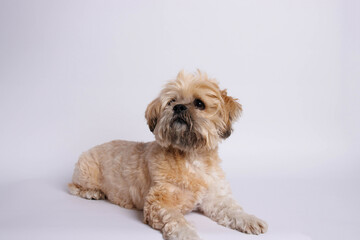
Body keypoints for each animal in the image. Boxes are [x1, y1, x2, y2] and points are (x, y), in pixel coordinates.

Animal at [68, 71, 268, 240]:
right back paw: (92, 192)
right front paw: (187, 233)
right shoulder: (159, 202)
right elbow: (175, 219)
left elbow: (232, 209)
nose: (178, 107)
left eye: (199, 103)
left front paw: (249, 219)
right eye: (172, 101)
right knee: (73, 186)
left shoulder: (215, 198)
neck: (191, 158)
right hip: (86, 172)